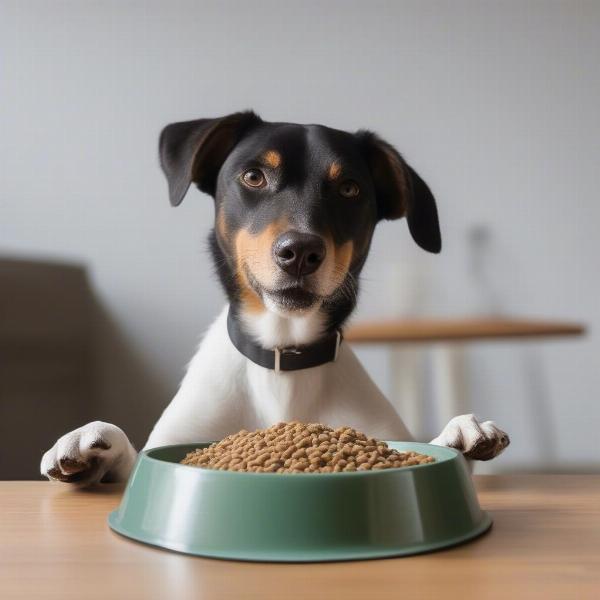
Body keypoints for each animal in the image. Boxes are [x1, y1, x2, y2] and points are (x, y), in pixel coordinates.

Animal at [39, 112, 508, 486]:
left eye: (350, 188)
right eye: (253, 176)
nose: (300, 252)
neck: (283, 360)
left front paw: (460, 437)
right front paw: (92, 443)